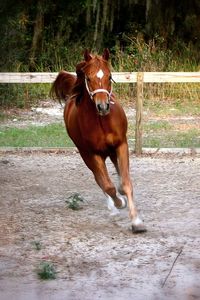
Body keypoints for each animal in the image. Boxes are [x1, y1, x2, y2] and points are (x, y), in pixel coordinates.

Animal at [50, 49, 146, 233]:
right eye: (88, 78)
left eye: (110, 76)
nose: (103, 106)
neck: (102, 122)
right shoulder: (93, 154)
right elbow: (107, 185)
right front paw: (119, 204)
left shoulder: (121, 145)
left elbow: (126, 183)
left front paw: (137, 222)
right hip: (87, 155)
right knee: (100, 180)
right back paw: (113, 208)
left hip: (111, 152)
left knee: (115, 172)